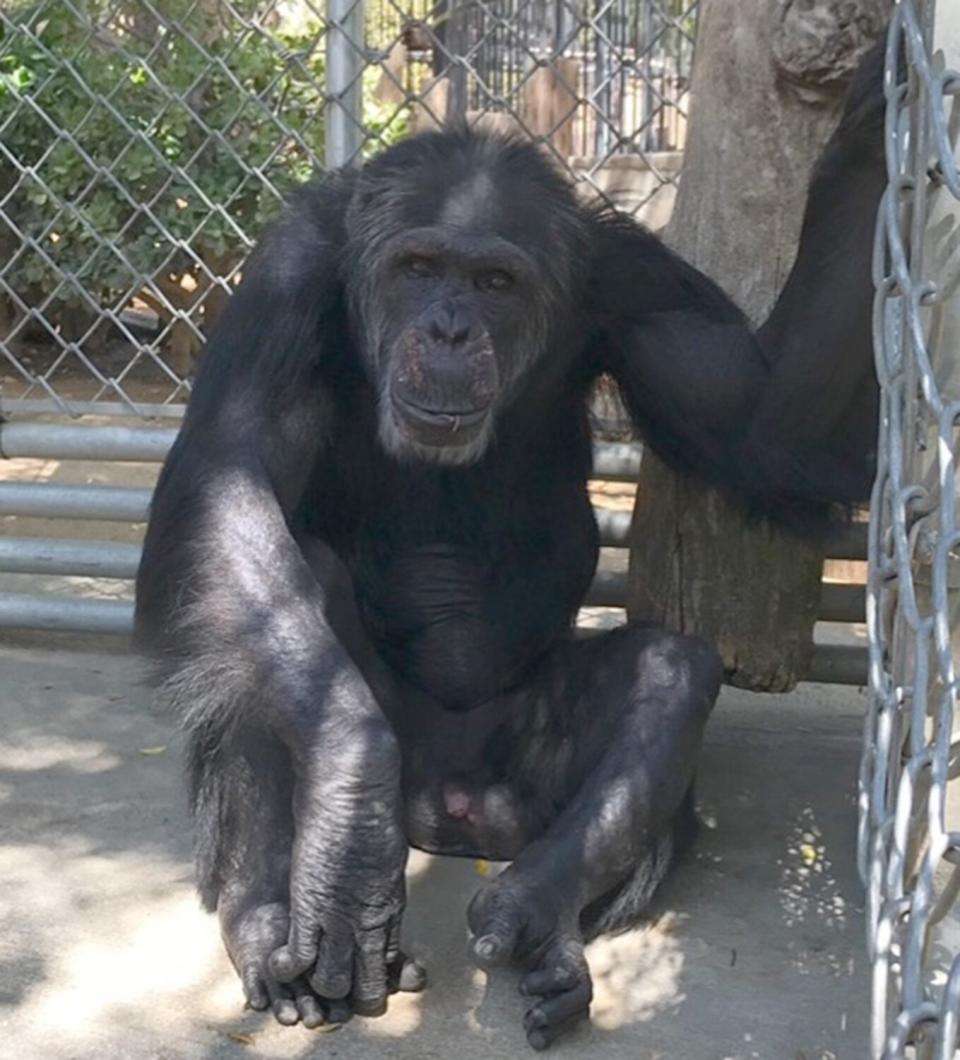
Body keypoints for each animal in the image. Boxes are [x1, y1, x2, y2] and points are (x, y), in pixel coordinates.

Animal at [132, 37, 881, 1047]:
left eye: (495, 282)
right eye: (418, 266)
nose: (449, 328)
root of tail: (451, 808)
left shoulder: (637, 284)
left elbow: (767, 428)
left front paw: (875, 130)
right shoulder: (284, 280)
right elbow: (229, 476)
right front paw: (350, 824)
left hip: (526, 781)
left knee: (672, 673)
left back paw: (541, 921)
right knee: (264, 613)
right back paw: (270, 927)